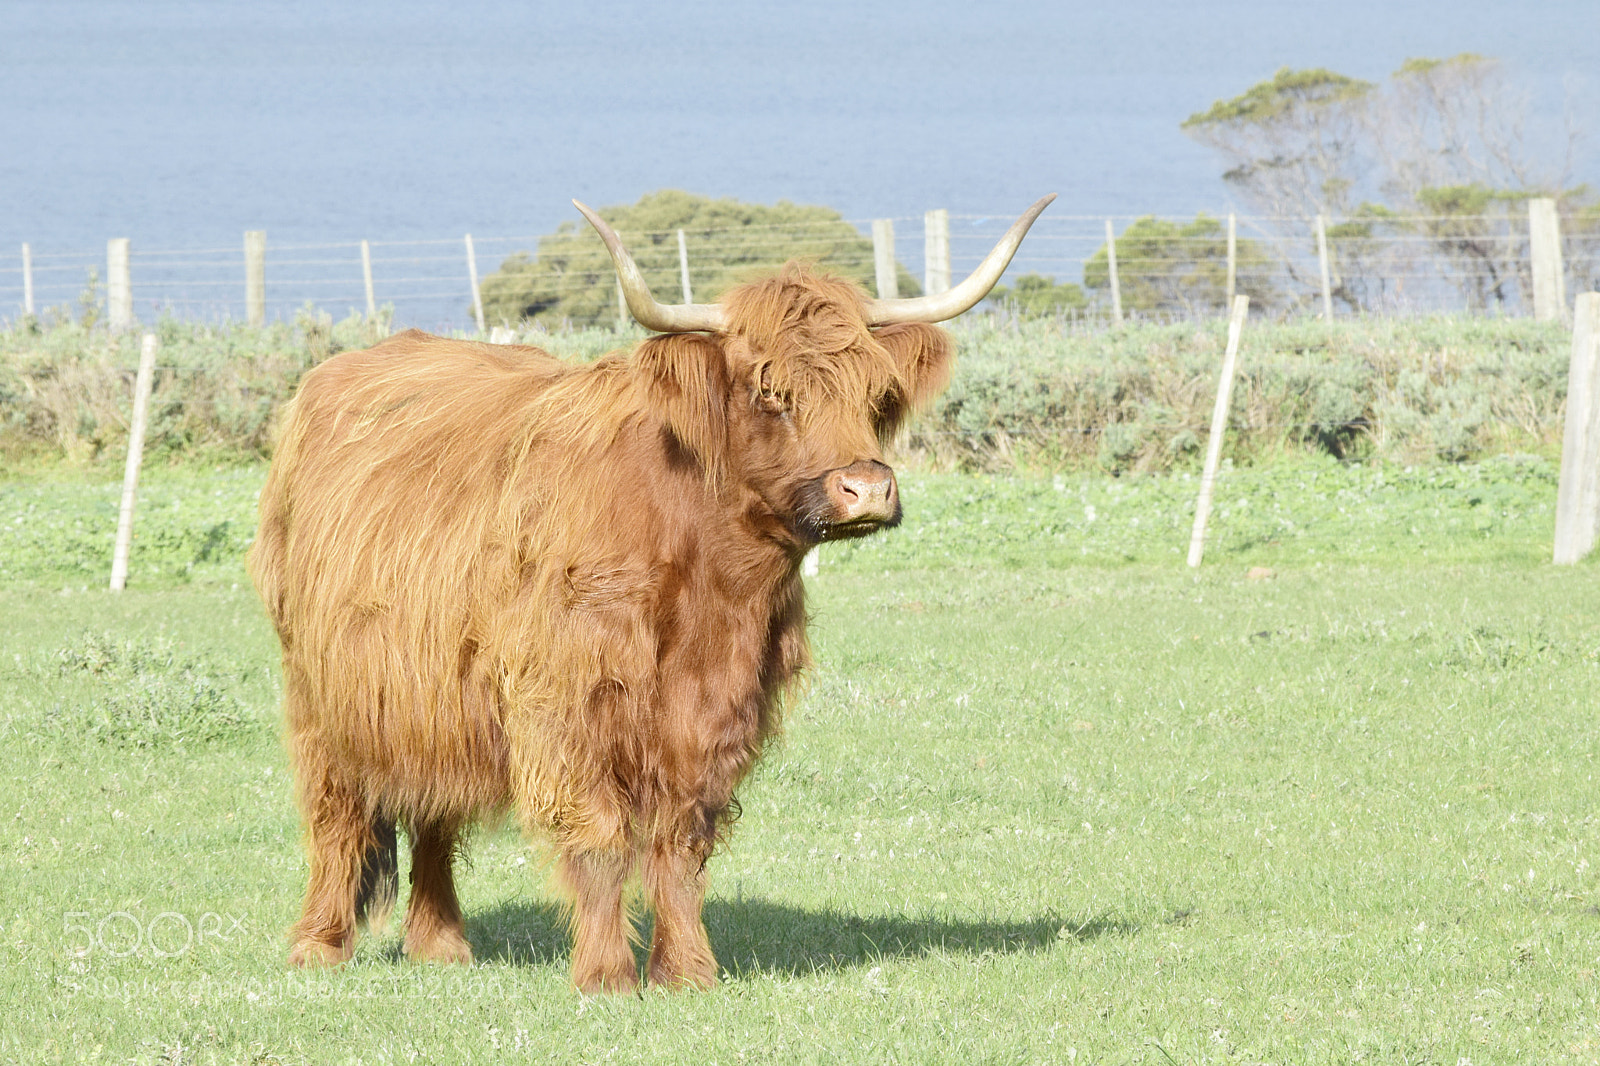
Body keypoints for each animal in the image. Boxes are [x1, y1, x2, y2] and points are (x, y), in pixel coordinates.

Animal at [248, 194, 1054, 992]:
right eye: (770, 391)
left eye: (877, 394)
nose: (866, 487)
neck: (710, 579)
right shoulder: (571, 698)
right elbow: (601, 837)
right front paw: (606, 975)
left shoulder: (717, 707)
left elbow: (681, 841)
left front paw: (687, 970)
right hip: (324, 689)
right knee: (336, 808)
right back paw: (321, 942)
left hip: (432, 690)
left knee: (435, 807)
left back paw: (441, 942)